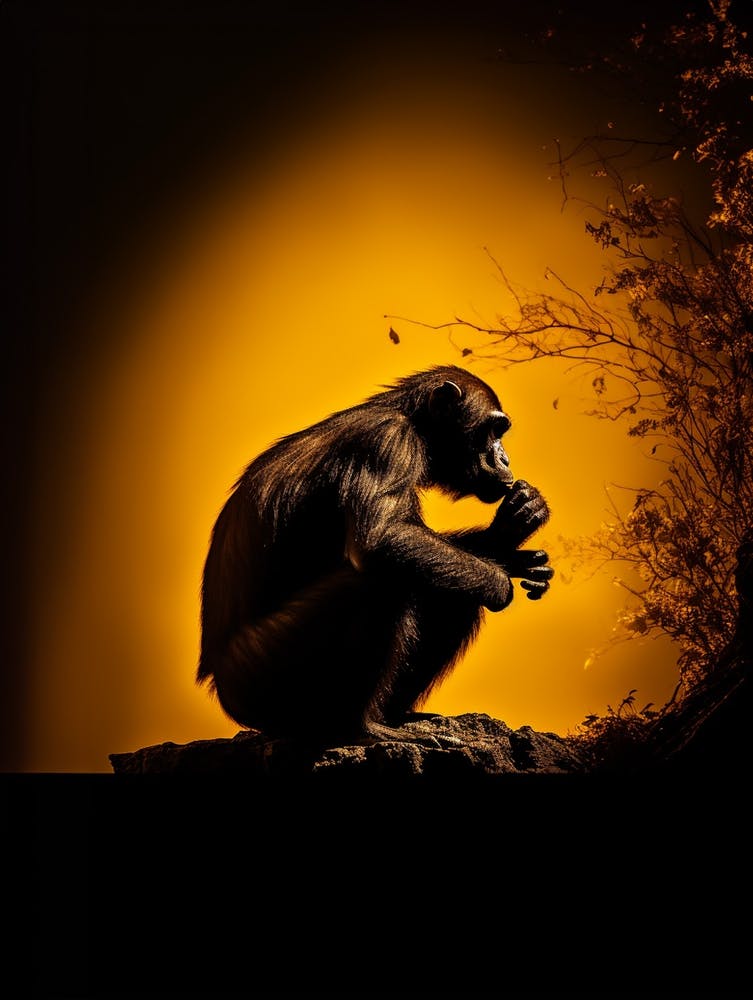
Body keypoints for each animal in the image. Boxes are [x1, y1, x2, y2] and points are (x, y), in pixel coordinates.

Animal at [197, 365, 553, 748]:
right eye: (493, 430)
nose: (503, 457)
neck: (415, 425)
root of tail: (220, 684)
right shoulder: (387, 442)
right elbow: (381, 538)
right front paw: (502, 581)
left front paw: (509, 536)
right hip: (264, 675)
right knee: (384, 582)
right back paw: (358, 726)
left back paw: (395, 716)